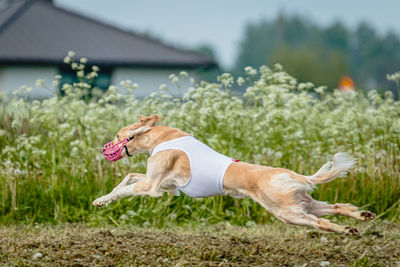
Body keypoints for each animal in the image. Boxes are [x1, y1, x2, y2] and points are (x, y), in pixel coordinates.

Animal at [93, 115, 376, 234]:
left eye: (117, 136)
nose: (104, 148)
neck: (162, 137)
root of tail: (290, 174)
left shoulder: (153, 187)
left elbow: (128, 187)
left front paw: (101, 200)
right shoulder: (166, 186)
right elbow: (129, 177)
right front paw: (105, 198)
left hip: (286, 211)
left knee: (320, 222)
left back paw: (347, 230)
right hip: (301, 201)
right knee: (336, 207)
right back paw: (361, 217)